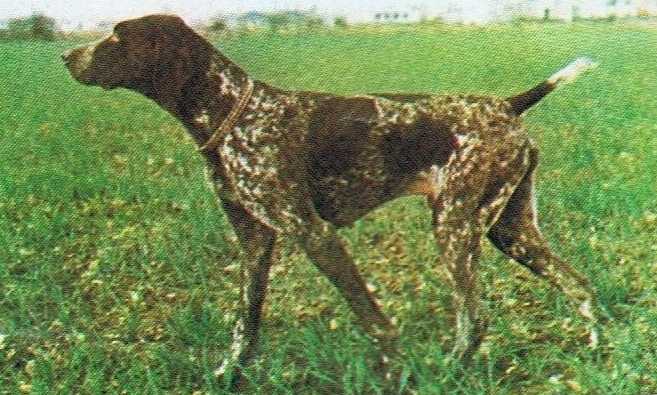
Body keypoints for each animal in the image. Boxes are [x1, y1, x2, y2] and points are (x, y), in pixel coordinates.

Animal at [64, 14, 604, 390]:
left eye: (118, 36)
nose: (67, 57)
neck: (231, 112)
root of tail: (507, 105)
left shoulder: (314, 234)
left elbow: (375, 324)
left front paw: (394, 376)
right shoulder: (255, 243)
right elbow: (244, 326)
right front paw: (227, 377)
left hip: (455, 228)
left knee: (475, 319)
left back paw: (448, 373)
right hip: (509, 230)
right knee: (579, 286)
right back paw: (596, 353)